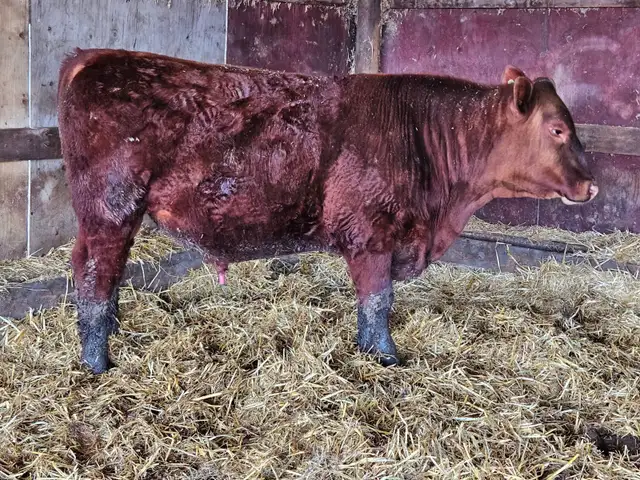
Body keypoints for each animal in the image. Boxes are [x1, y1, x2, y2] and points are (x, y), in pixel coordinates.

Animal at [57, 48, 598, 374]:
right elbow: (378, 301)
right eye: (557, 129)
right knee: (94, 273)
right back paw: (97, 360)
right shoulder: (371, 233)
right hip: (109, 208)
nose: (591, 185)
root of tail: (96, 57)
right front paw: (386, 358)